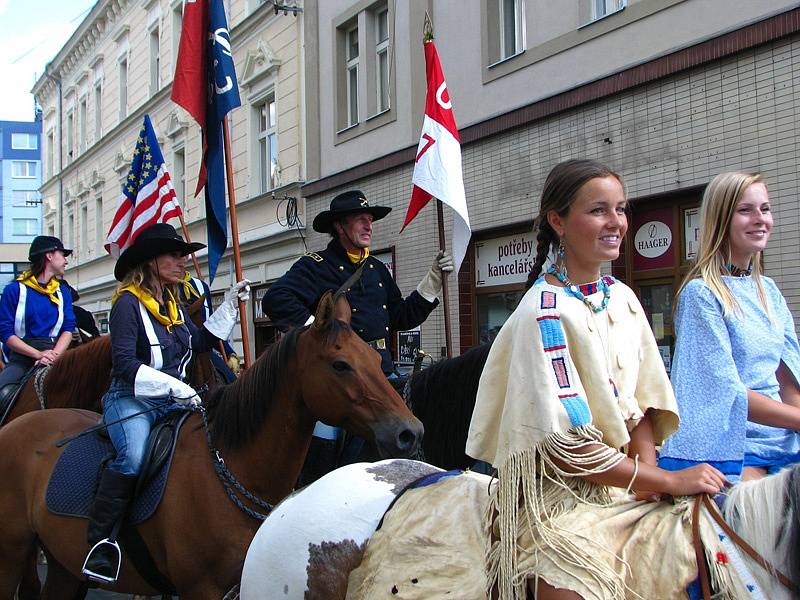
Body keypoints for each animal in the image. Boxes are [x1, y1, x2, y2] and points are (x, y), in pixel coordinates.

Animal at [0, 292, 424, 600]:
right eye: (340, 364)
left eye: (374, 358)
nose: (410, 432)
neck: (231, 465)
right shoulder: (200, 589)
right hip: (13, 553)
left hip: (64, 566)